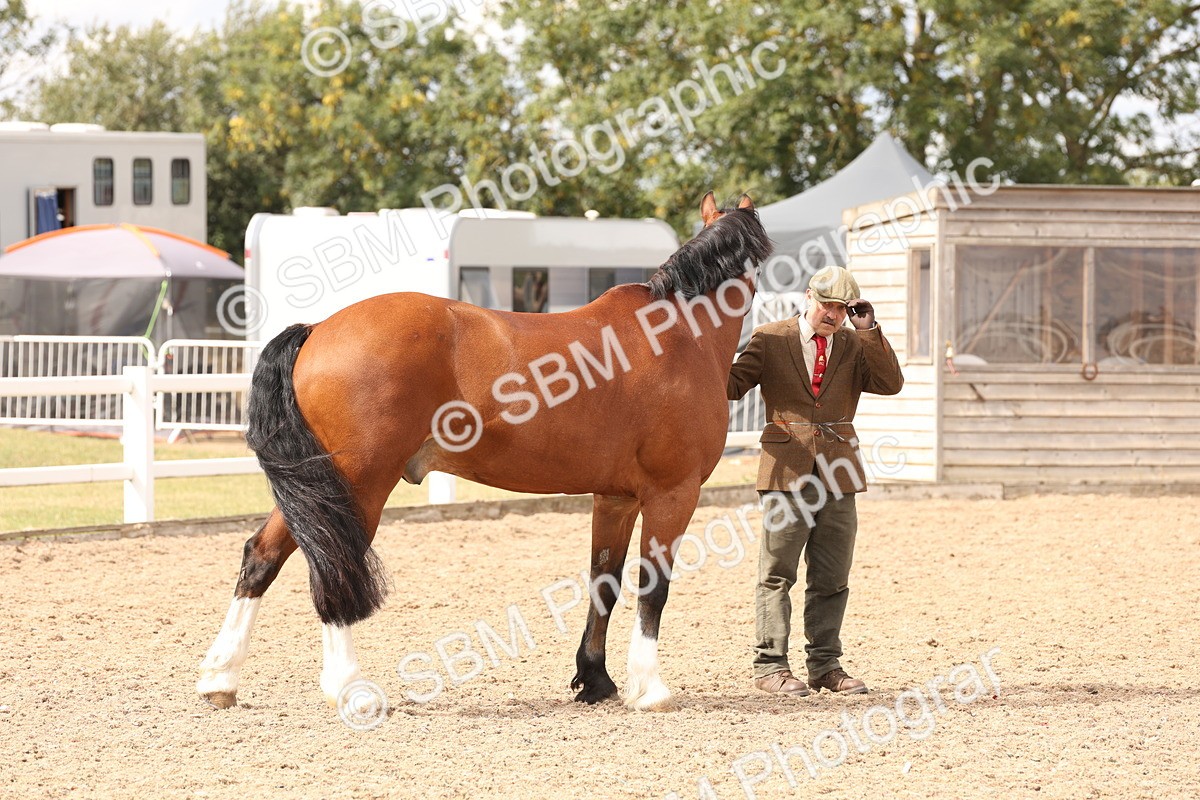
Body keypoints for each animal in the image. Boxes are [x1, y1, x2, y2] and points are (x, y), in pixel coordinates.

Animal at [197, 192, 772, 713]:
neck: (677, 334)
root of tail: (317, 329)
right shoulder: (672, 493)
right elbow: (654, 586)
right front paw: (649, 687)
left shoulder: (615, 498)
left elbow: (602, 582)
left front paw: (595, 680)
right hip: (357, 486)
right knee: (332, 569)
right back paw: (349, 689)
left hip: (316, 485)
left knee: (261, 556)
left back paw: (220, 679)